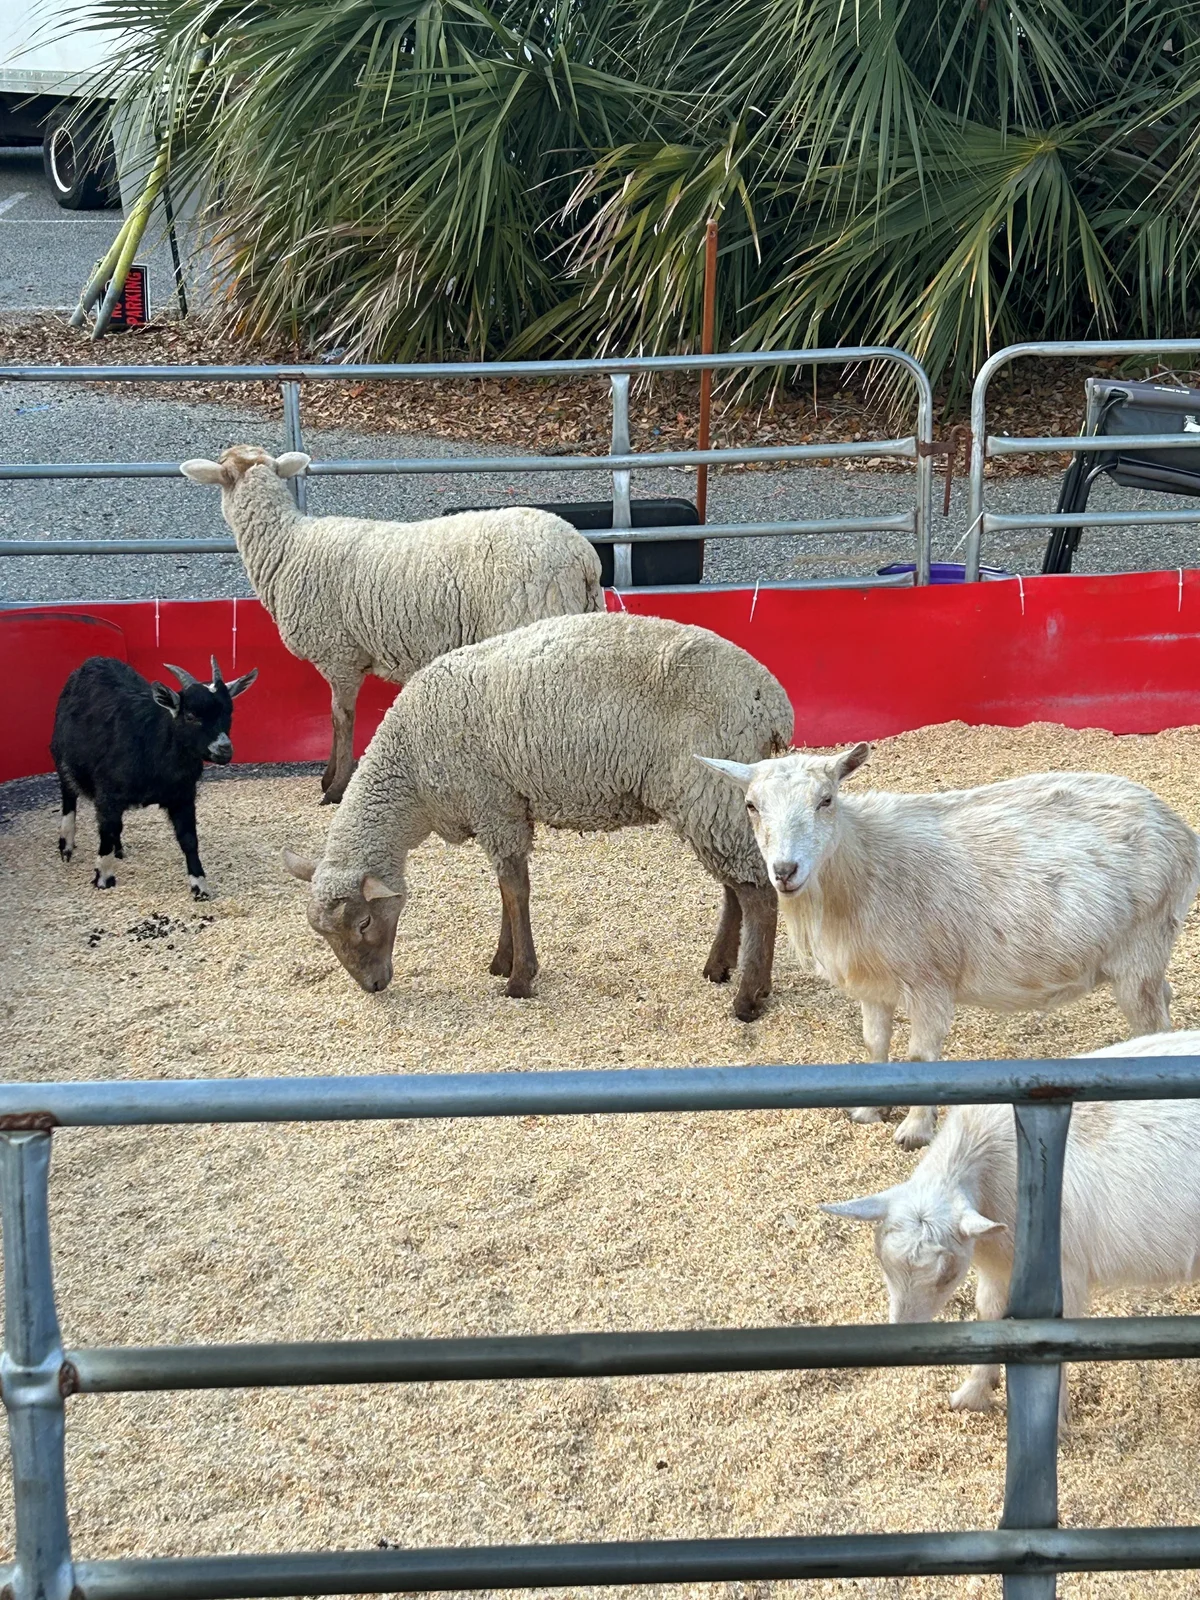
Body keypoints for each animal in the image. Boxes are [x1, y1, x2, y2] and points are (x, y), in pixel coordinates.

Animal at [52, 654, 258, 899]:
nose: (224, 749)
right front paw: (103, 878)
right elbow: (106, 832)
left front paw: (200, 886)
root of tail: (93, 661)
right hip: (62, 757)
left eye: (229, 712)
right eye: (190, 715)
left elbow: (189, 839)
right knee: (69, 796)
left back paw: (119, 849)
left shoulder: (182, 796)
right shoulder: (108, 792)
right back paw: (66, 846)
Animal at [179, 444, 605, 805]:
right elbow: (336, 717)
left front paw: (336, 787)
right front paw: (329, 777)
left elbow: (341, 717)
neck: (287, 547)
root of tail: (582, 554)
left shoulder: (339, 654)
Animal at [282, 611, 794, 1020]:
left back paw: (749, 998)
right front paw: (503, 962)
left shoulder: (493, 803)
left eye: (364, 924)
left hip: (705, 790)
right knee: (736, 885)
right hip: (714, 796)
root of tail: (770, 700)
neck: (411, 777)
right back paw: (721, 968)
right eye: (322, 933)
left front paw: (519, 978)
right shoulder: (501, 807)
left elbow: (514, 889)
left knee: (758, 893)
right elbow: (506, 888)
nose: (373, 986)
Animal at [699, 746, 1200, 1147]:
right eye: (751, 805)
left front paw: (914, 1132)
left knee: (1151, 1022)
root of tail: (1181, 832)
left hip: (1141, 947)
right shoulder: (872, 983)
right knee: (1164, 1000)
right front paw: (869, 1111)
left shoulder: (929, 980)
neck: (863, 867)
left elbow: (922, 1056)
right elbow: (874, 1043)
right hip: (1149, 951)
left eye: (826, 800)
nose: (785, 870)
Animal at [821, 1029, 1200, 1420]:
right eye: (883, 1262)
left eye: (947, 1276)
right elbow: (989, 1315)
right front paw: (973, 1392)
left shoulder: (1062, 1276)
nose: (903, 1336)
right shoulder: (996, 1265)